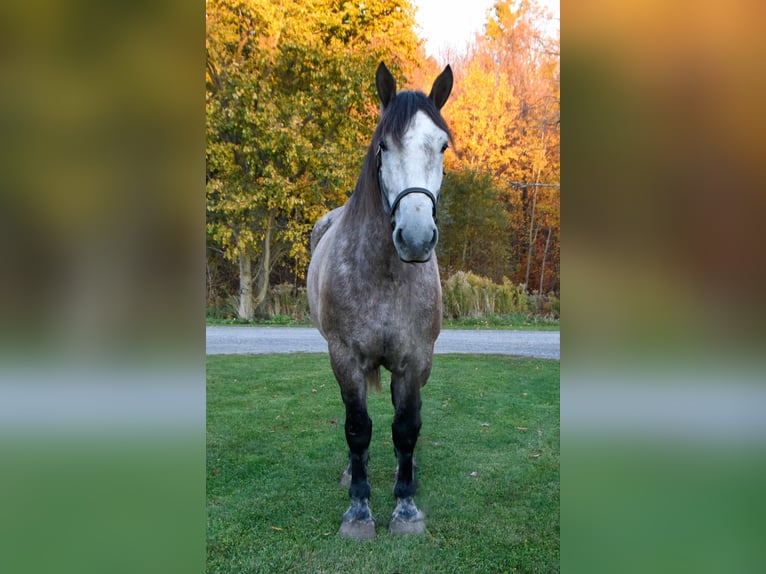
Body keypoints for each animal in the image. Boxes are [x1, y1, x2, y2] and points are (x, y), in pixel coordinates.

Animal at [306, 64, 452, 544]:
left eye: (442, 145)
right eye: (383, 146)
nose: (416, 238)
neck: (386, 274)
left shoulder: (415, 358)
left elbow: (406, 427)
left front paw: (405, 506)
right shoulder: (345, 358)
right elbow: (357, 428)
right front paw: (358, 509)